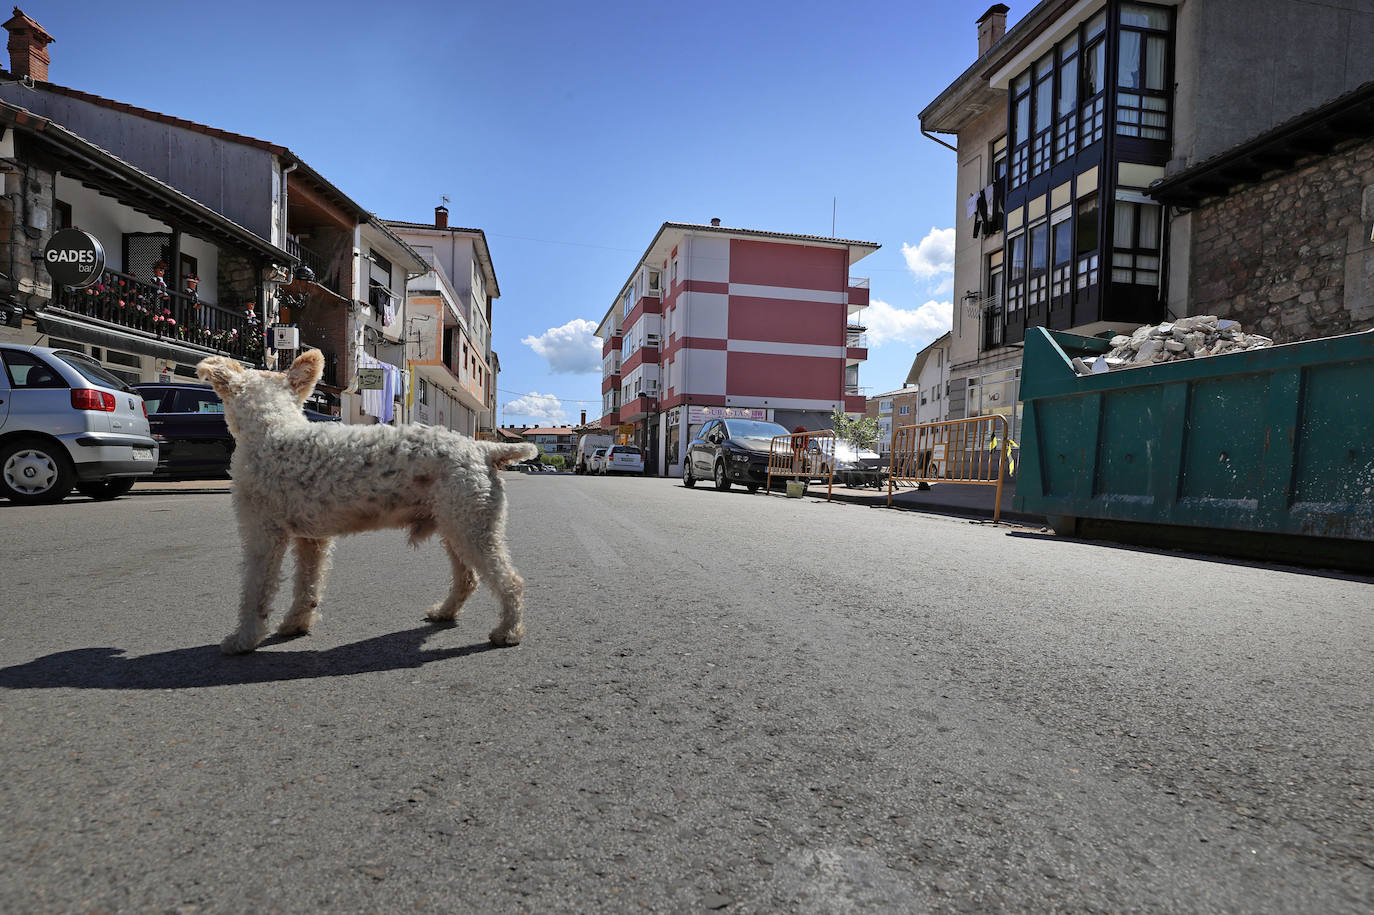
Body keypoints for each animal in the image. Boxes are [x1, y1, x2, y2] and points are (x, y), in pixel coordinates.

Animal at [197, 346, 535, 651]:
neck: (272, 429)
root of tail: (484, 449)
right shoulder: (312, 538)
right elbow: (307, 584)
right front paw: (296, 623)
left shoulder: (264, 533)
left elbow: (256, 590)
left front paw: (242, 639)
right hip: (456, 524)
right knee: (468, 579)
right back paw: (444, 612)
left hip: (471, 527)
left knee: (511, 581)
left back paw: (508, 632)